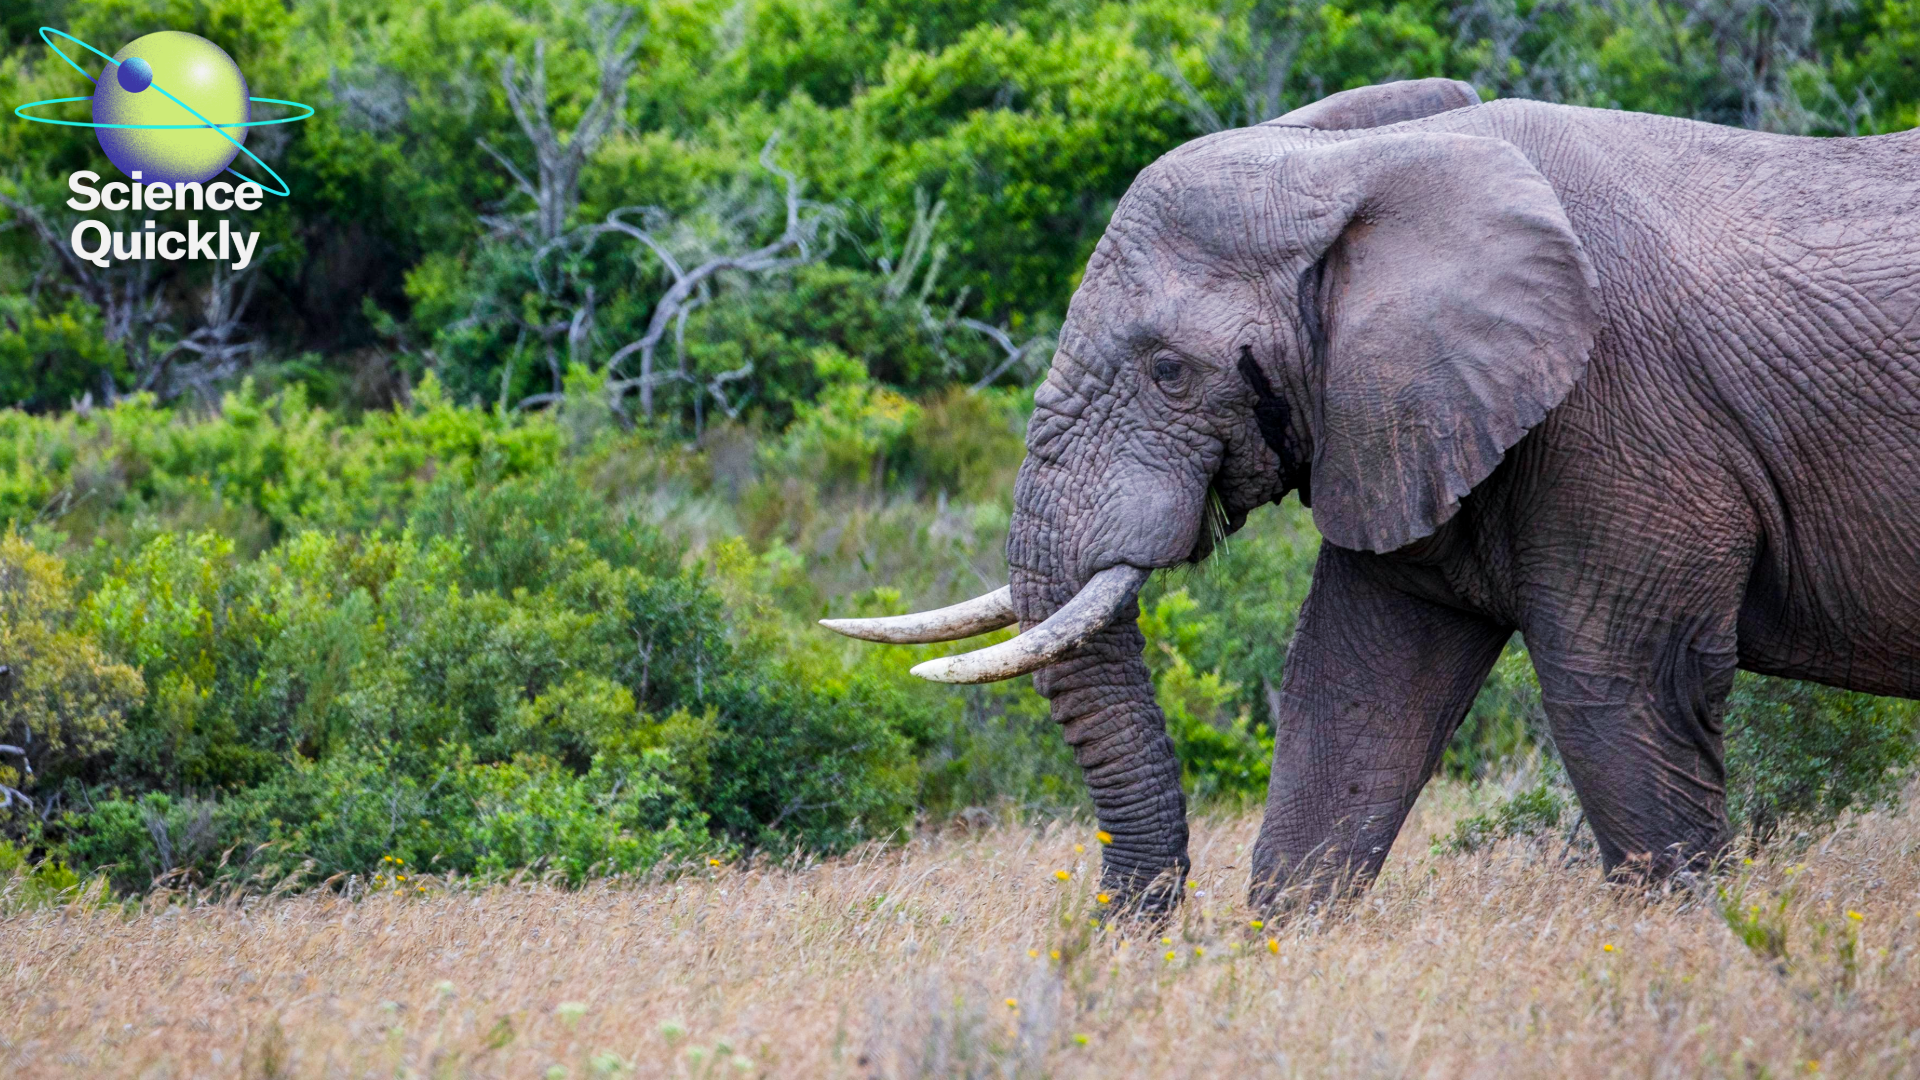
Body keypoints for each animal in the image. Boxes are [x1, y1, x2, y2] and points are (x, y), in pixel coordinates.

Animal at [823, 78, 1920, 912]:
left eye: (1169, 372)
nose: (1126, 939)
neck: (1367, 163)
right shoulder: (1401, 417)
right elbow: (1353, 691)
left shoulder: (1624, 416)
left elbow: (1624, 690)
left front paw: (1695, 952)